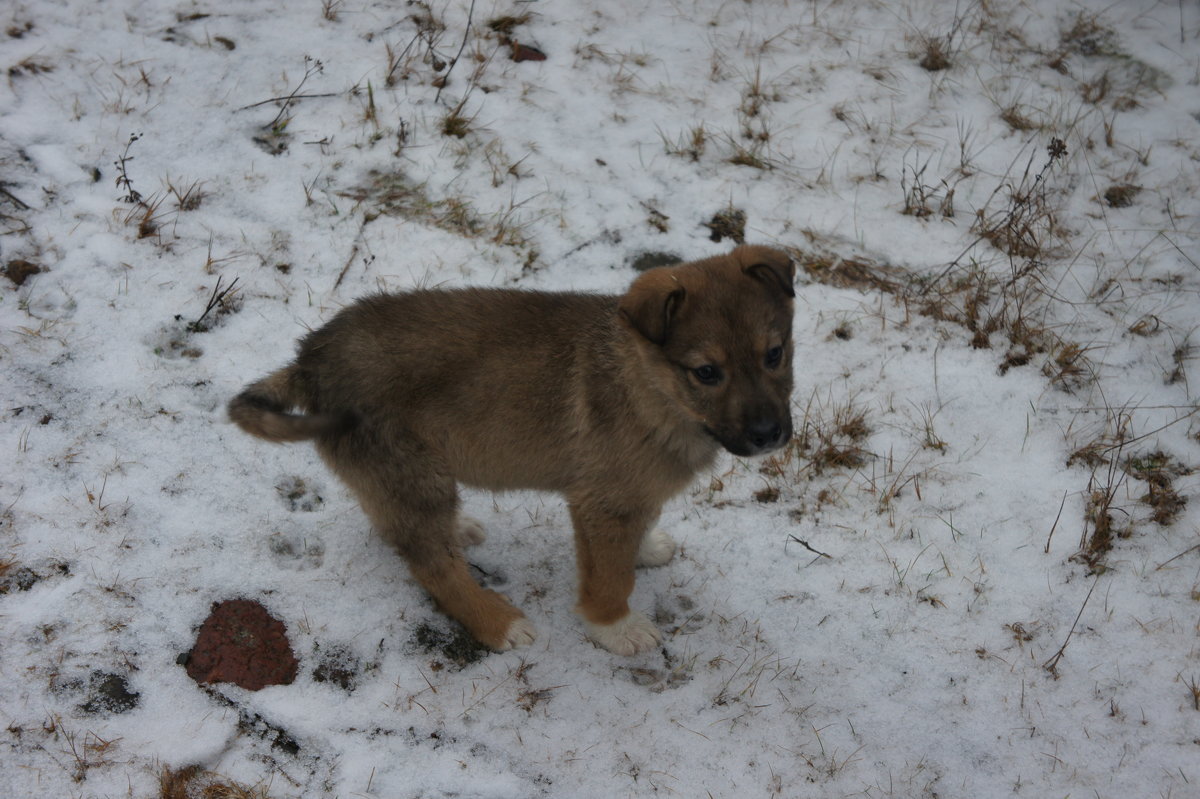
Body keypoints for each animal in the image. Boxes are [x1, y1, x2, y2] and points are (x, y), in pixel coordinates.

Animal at [230, 244, 796, 652]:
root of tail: (309, 361)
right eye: (707, 372)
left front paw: (645, 548)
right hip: (413, 473)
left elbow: (631, 536)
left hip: (398, 476)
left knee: (398, 527)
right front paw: (615, 627)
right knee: (432, 567)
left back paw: (458, 530)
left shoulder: (625, 496)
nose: (769, 434)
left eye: (774, 354)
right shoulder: (603, 501)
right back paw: (497, 622)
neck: (652, 390)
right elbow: (609, 577)